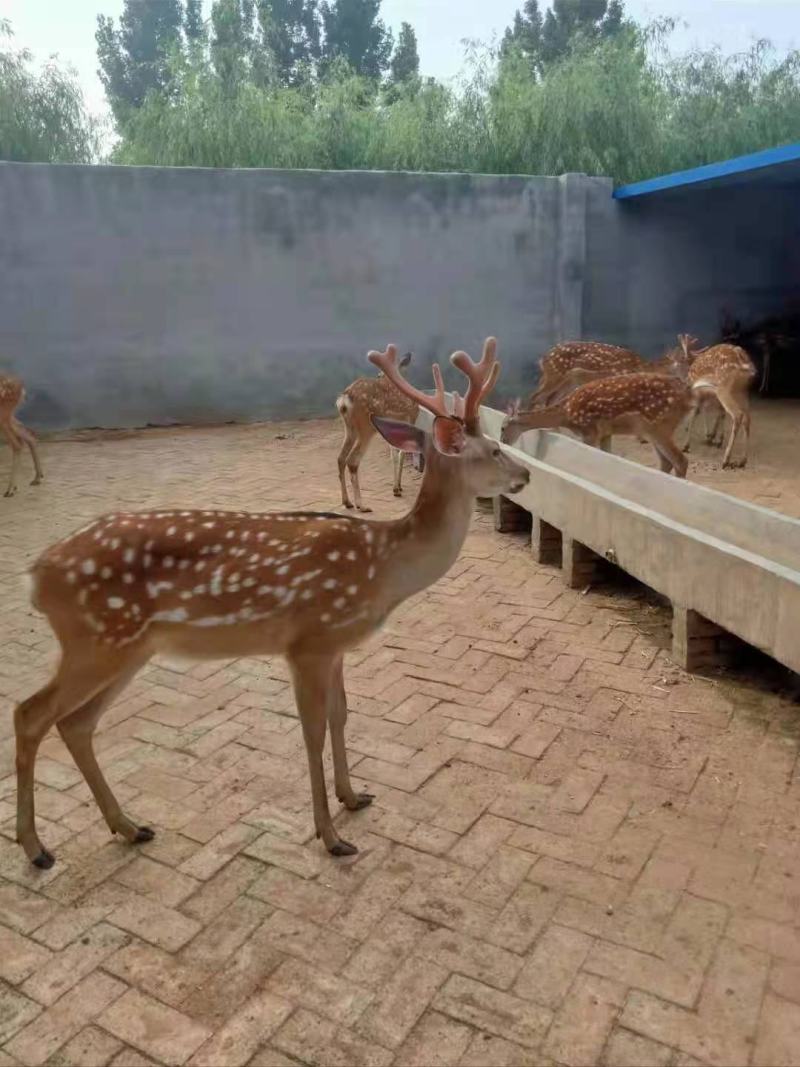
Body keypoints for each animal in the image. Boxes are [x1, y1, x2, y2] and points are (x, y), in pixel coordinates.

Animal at [336, 352, 417, 512]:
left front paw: (397, 487)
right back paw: (361, 505)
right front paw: (398, 488)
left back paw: (347, 502)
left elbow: (394, 456)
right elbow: (401, 455)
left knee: (341, 458)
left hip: (349, 428)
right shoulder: (409, 422)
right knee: (352, 460)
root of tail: (344, 400)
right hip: (366, 427)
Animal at [502, 371, 692, 478]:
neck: (566, 414)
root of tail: (688, 397)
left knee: (681, 461)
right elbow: (607, 456)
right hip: (652, 430)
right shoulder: (606, 432)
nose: (503, 441)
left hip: (659, 425)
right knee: (667, 462)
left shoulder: (589, 430)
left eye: (503, 427)